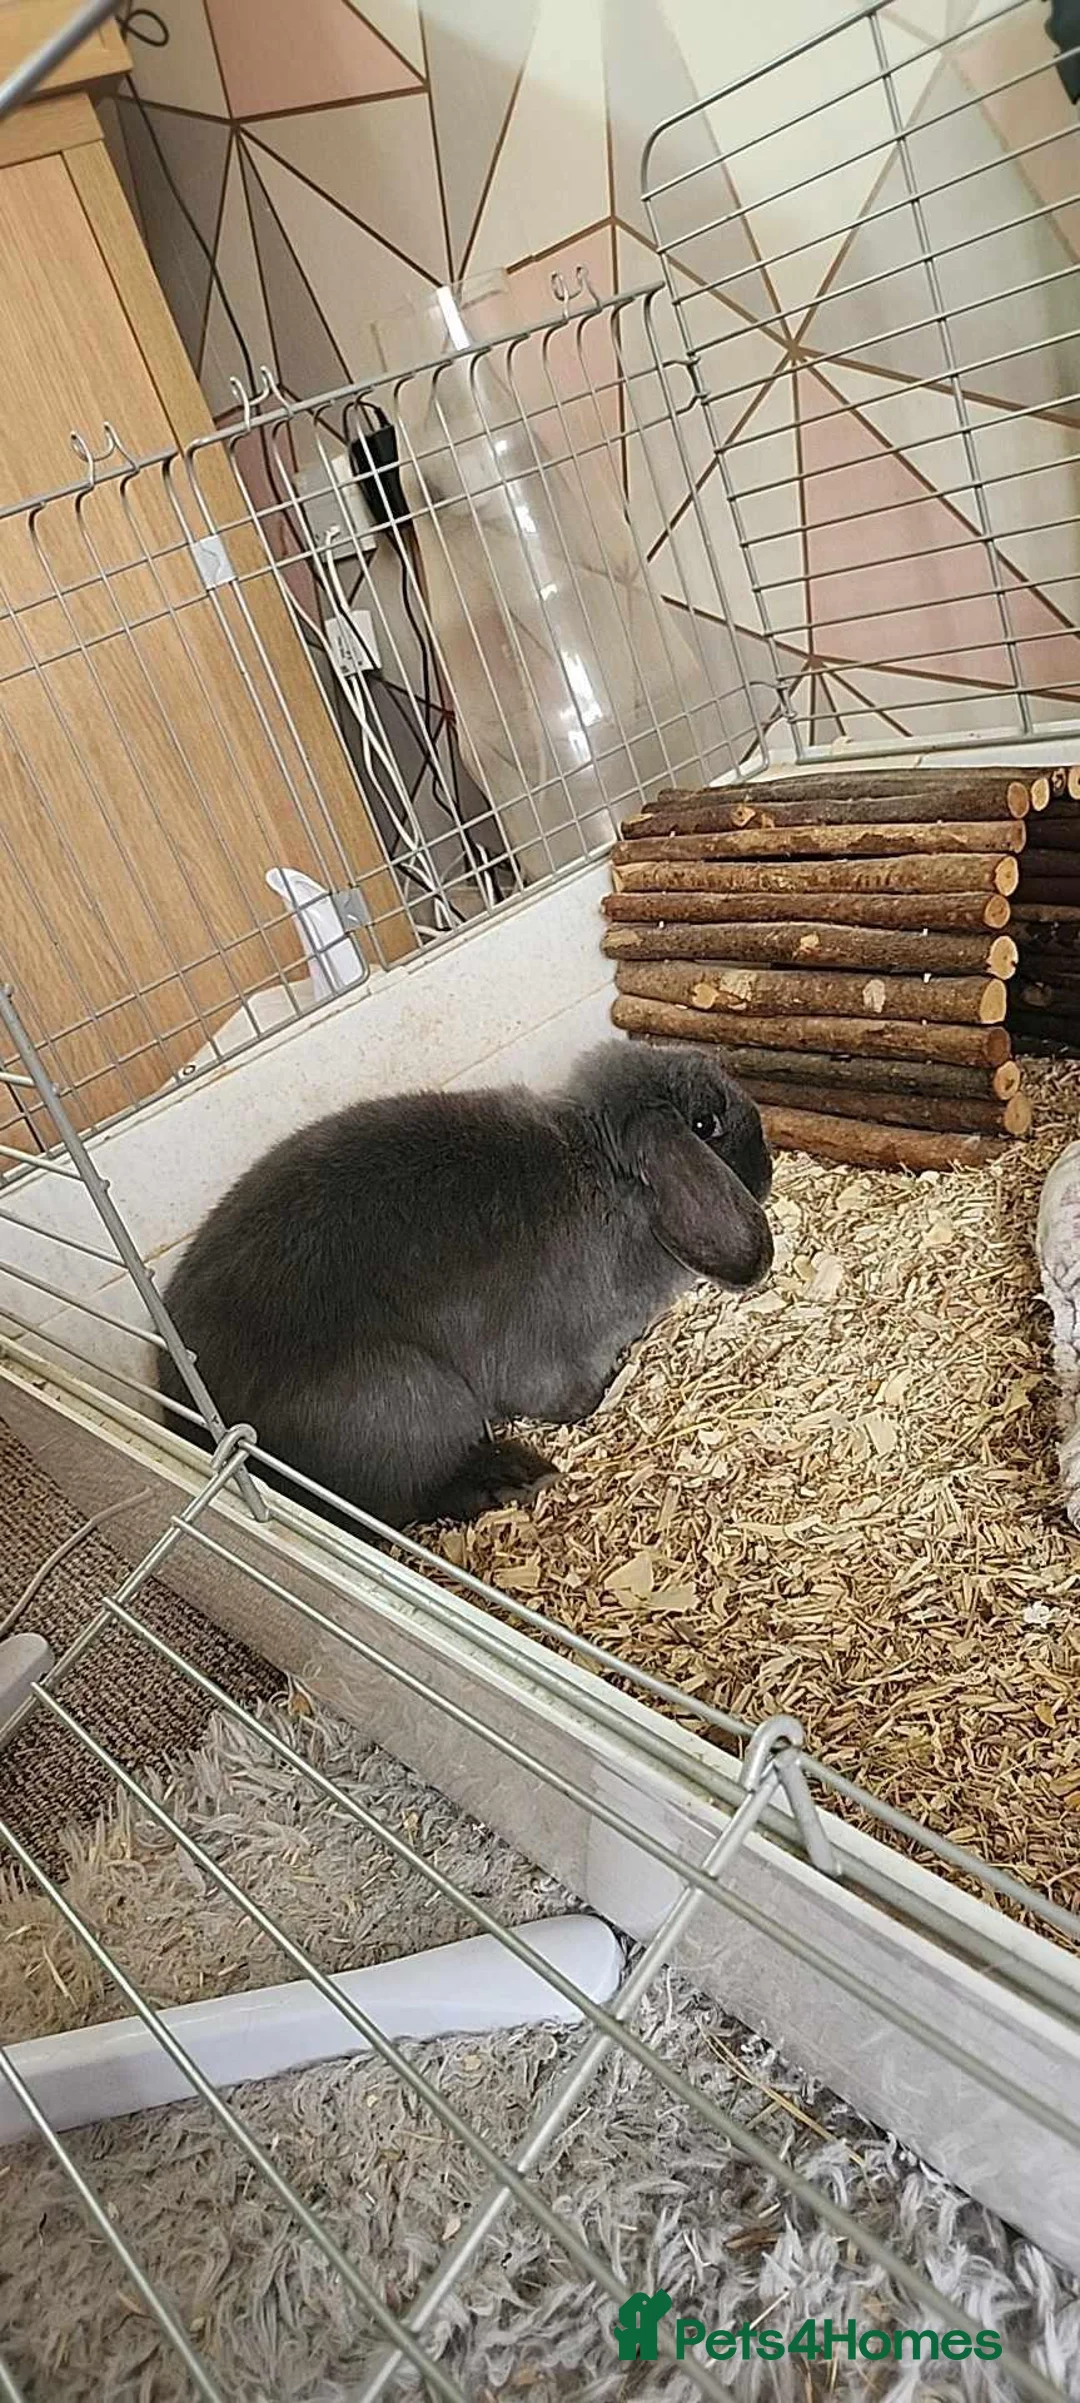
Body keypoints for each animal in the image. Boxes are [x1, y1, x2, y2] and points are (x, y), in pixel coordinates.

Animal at [157, 1039, 773, 1533]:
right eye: (706, 1125)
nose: (766, 1171)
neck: (601, 1174)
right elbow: (570, 1400)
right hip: (415, 1396)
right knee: (412, 1499)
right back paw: (513, 1477)